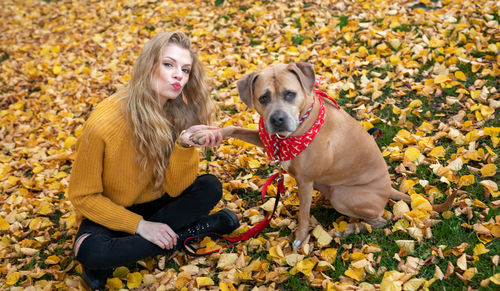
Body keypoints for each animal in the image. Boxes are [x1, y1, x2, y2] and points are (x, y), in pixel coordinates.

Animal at [193, 62, 456, 250]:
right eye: (263, 98)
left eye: (290, 94)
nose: (277, 119)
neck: (291, 134)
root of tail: (389, 189)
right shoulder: (266, 137)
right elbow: (234, 128)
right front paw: (204, 135)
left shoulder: (305, 181)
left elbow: (303, 215)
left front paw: (300, 240)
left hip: (344, 195)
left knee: (380, 221)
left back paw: (348, 230)